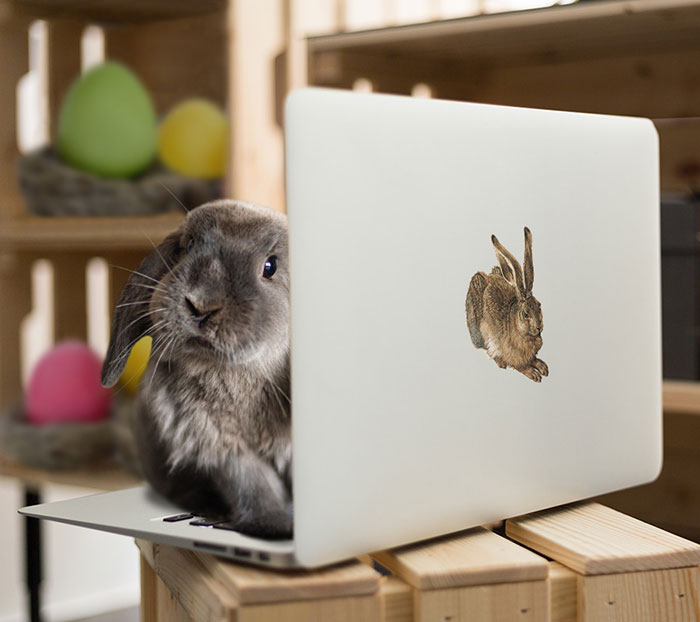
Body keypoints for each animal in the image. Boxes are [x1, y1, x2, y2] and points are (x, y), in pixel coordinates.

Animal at [101, 201, 292, 540]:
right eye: (189, 246)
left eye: (270, 266)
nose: (202, 305)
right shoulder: (221, 448)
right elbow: (253, 484)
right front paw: (273, 526)